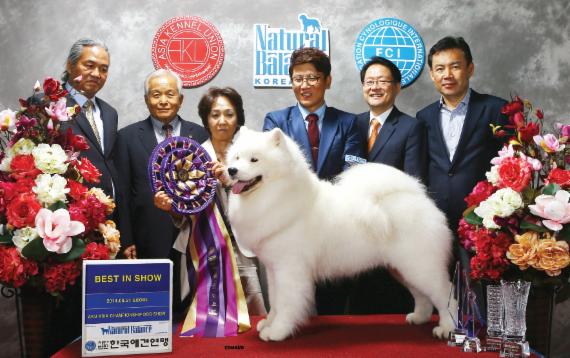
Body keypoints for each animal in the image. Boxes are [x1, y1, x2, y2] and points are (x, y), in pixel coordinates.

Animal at [224, 128, 454, 342]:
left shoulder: (289, 269)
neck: (280, 195)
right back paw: (419, 317)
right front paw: (268, 323)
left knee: (446, 295)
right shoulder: (274, 269)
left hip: (420, 266)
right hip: (404, 269)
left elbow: (286, 302)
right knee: (423, 296)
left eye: (254, 159)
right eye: (236, 157)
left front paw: (278, 331)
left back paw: (447, 329)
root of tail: (420, 198)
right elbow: (275, 301)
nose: (231, 170)